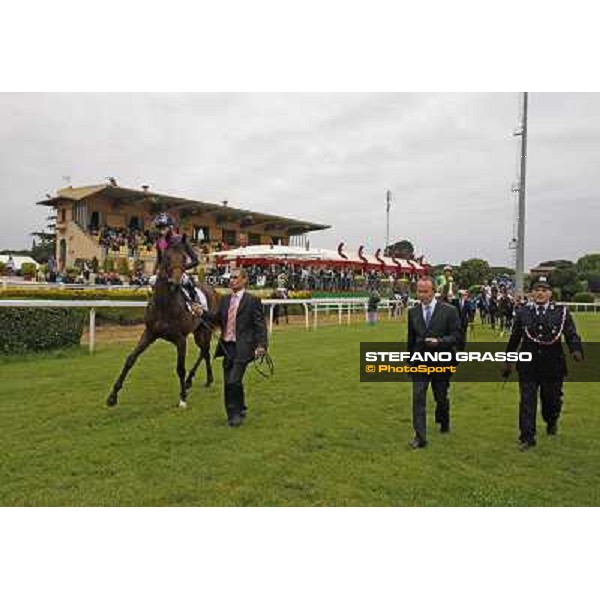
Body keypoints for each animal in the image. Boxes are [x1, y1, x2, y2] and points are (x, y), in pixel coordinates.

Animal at [106, 238, 219, 408]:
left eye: (184, 258)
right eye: (166, 258)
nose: (175, 283)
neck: (164, 305)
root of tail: (211, 288)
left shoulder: (181, 339)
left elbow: (180, 368)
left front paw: (182, 398)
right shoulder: (149, 333)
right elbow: (130, 359)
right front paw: (112, 396)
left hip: (204, 330)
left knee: (205, 350)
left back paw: (198, 380)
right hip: (198, 331)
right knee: (204, 352)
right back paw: (200, 380)